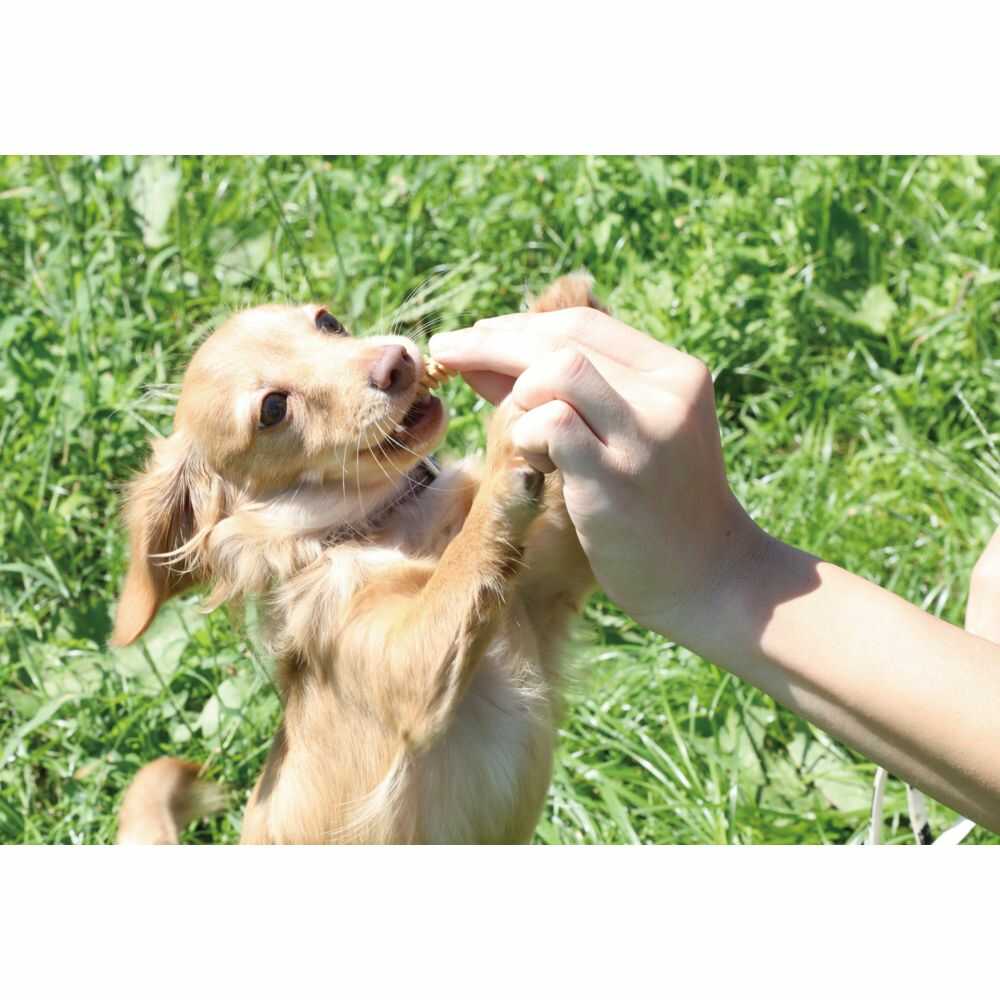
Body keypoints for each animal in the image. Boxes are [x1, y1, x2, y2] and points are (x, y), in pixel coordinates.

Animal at [113, 275, 603, 843]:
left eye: (328, 322)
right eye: (273, 410)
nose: (397, 362)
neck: (398, 521)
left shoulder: (554, 580)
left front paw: (562, 308)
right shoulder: (406, 666)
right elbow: (464, 560)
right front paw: (504, 444)